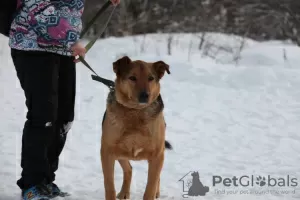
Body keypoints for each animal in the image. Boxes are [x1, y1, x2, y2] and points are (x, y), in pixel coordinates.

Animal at [100, 55, 172, 199]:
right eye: (132, 78)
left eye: (151, 78)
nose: (145, 95)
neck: (135, 111)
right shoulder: (107, 152)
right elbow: (109, 186)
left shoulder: (157, 155)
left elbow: (150, 187)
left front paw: (152, 192)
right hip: (120, 153)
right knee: (129, 169)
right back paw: (124, 192)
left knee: (155, 176)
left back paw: (157, 192)